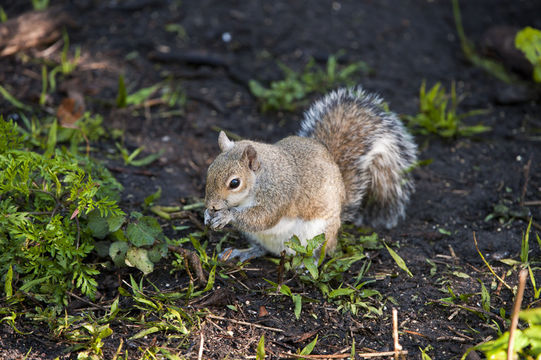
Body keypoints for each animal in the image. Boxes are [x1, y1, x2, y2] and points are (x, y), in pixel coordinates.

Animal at [202, 87, 418, 262]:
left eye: (234, 183)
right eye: (209, 169)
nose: (211, 205)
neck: (260, 179)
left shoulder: (279, 194)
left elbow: (263, 217)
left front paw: (226, 215)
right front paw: (207, 215)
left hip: (321, 234)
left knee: (321, 252)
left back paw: (308, 264)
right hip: (259, 238)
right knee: (262, 249)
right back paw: (245, 252)